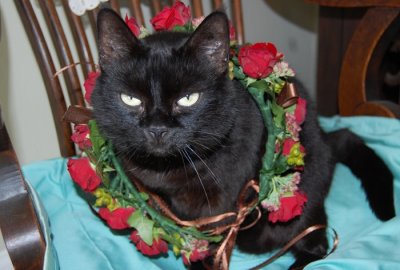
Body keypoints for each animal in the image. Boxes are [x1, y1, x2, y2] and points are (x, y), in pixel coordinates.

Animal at [90, 8, 394, 270]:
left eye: (188, 98)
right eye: (130, 99)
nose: (157, 128)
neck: (170, 171)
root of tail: (325, 138)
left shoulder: (220, 206)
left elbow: (212, 242)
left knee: (316, 243)